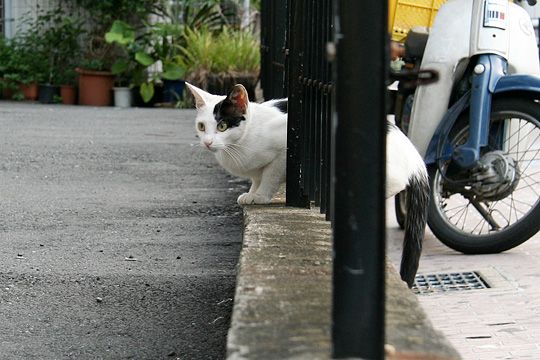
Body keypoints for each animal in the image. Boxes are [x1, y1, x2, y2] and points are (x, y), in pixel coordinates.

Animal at [188, 82, 428, 286]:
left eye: (222, 126)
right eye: (201, 126)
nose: (207, 142)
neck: (240, 145)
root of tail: (415, 157)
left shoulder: (284, 150)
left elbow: (270, 175)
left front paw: (261, 195)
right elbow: (257, 177)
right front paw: (251, 193)